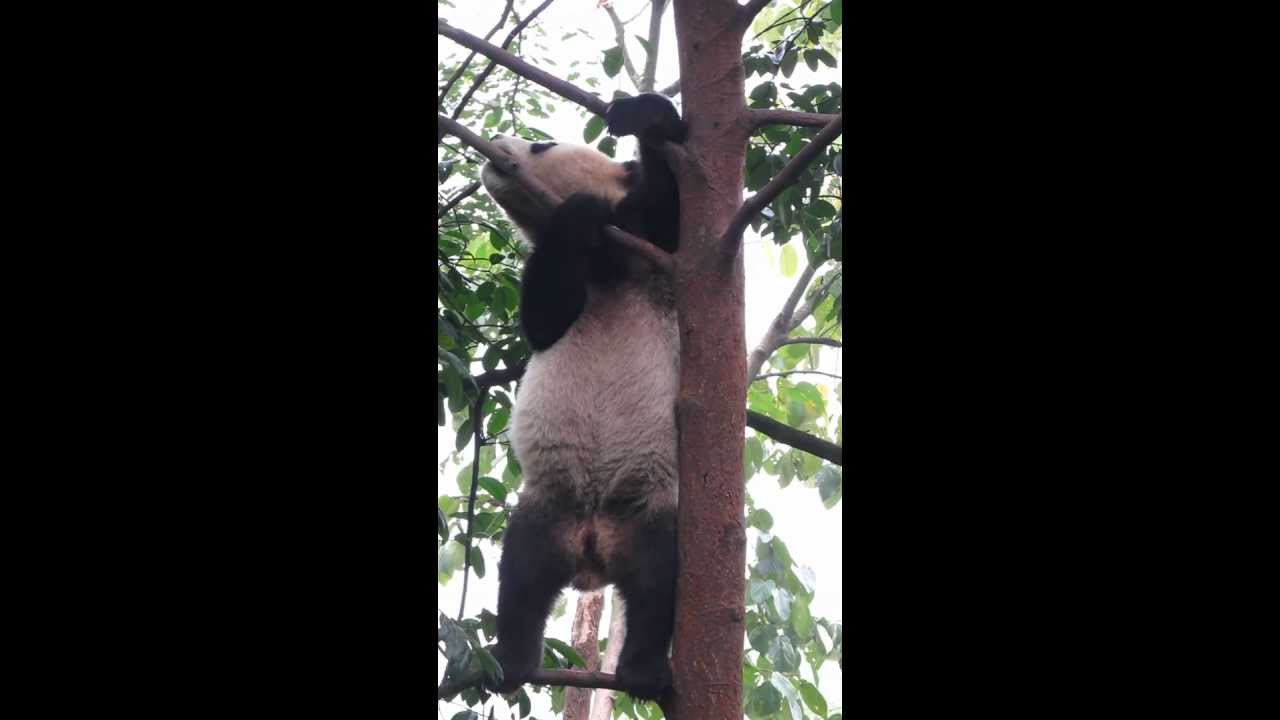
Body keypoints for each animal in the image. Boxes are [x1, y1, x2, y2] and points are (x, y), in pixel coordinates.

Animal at [478, 93, 686, 701]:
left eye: (542, 143)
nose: (496, 144)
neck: (604, 262)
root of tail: (594, 548)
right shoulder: (561, 269)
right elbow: (544, 320)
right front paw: (579, 211)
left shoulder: (656, 248)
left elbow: (672, 203)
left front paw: (645, 116)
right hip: (545, 509)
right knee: (520, 578)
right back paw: (513, 660)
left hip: (651, 505)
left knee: (661, 581)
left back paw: (642, 670)